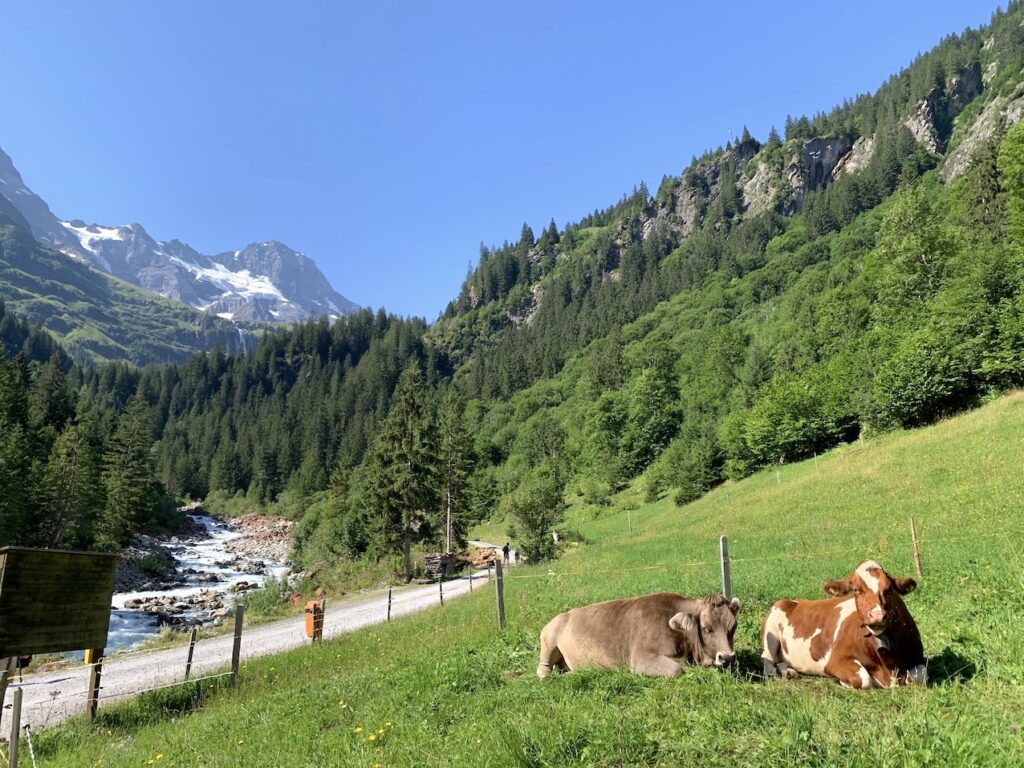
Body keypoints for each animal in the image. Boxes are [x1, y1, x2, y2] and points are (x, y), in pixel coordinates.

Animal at [537, 592, 741, 678]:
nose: (727, 657)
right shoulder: (641, 660)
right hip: (549, 641)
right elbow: (677, 670)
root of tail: (564, 614)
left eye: (733, 627)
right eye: (707, 629)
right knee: (543, 671)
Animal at [761, 560, 927, 689]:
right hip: (772, 628)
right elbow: (864, 679)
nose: (878, 615)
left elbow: (918, 676)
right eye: (856, 590)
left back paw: (788, 671)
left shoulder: (918, 658)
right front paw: (842, 682)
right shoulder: (835, 661)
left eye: (889, 589)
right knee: (768, 660)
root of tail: (795, 601)